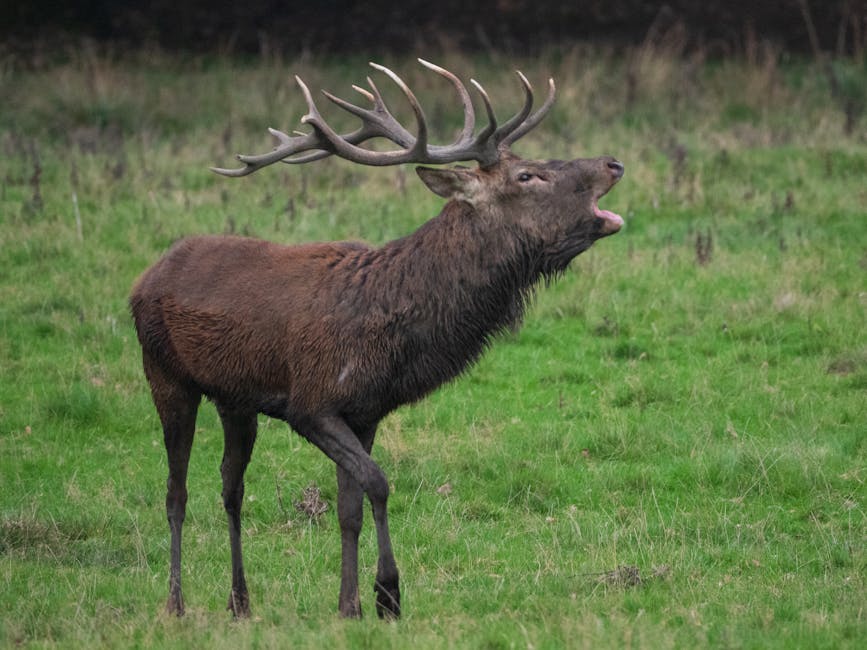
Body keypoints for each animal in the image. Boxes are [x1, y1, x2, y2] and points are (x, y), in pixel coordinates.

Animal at [129, 59, 624, 621]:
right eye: (527, 175)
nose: (612, 163)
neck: (389, 334)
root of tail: (146, 277)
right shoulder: (311, 403)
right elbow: (379, 483)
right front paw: (388, 593)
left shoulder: (364, 412)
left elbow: (350, 509)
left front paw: (349, 606)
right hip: (164, 373)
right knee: (176, 492)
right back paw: (175, 603)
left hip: (236, 400)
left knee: (230, 487)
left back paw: (240, 602)